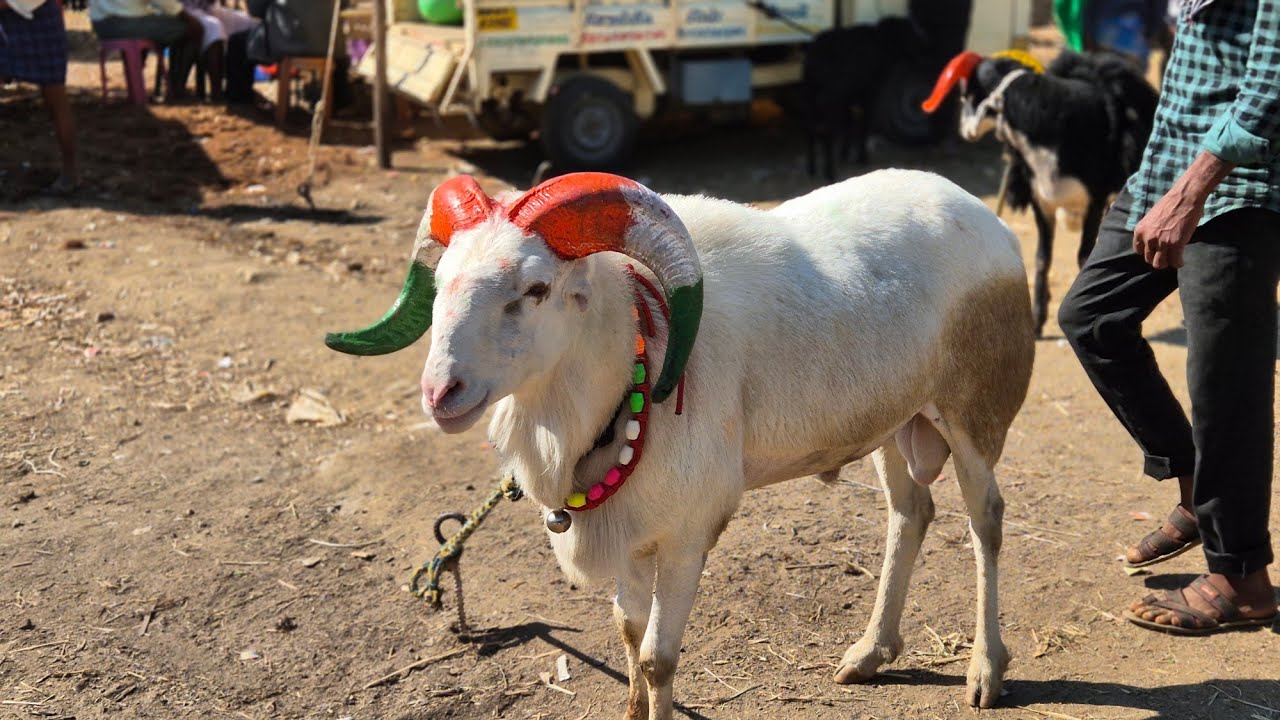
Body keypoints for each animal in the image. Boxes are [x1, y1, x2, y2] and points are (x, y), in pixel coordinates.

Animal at [326, 169, 1035, 719]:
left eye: (536, 288)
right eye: (440, 279)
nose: (441, 393)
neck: (637, 357)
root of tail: (986, 217)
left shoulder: (689, 534)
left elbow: (658, 658)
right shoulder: (630, 527)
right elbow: (627, 632)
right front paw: (632, 709)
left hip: (974, 414)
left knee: (986, 522)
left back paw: (984, 671)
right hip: (894, 422)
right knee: (911, 514)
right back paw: (869, 654)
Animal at [802, 16, 926, 180]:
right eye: (910, 32)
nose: (925, 49)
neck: (881, 43)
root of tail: (814, 56)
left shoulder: (848, 98)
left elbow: (849, 123)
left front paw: (844, 154)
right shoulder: (869, 94)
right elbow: (864, 124)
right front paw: (862, 158)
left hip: (810, 94)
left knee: (809, 129)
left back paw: (811, 169)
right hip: (831, 97)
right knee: (827, 133)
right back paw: (830, 173)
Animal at [922, 49, 1157, 336]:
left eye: (967, 94)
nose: (964, 131)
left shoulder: (1095, 199)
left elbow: (1083, 256)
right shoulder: (1041, 202)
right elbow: (1042, 258)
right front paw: (1036, 320)